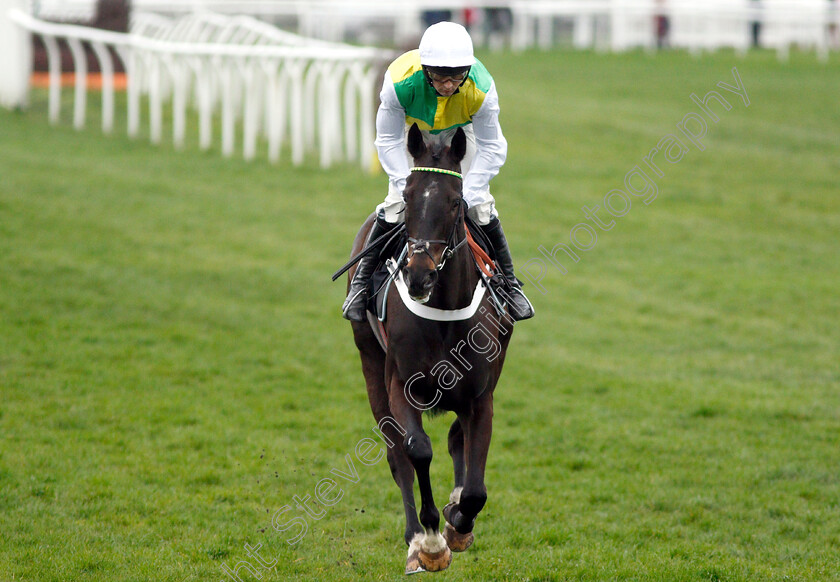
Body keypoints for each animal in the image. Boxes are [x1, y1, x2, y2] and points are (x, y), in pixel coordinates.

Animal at [344, 124, 516, 576]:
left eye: (456, 202)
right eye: (407, 197)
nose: (418, 275)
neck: (444, 311)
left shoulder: (481, 395)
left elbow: (474, 487)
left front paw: (458, 522)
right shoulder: (399, 383)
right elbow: (416, 450)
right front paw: (433, 541)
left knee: (457, 439)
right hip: (371, 365)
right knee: (396, 455)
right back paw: (415, 541)